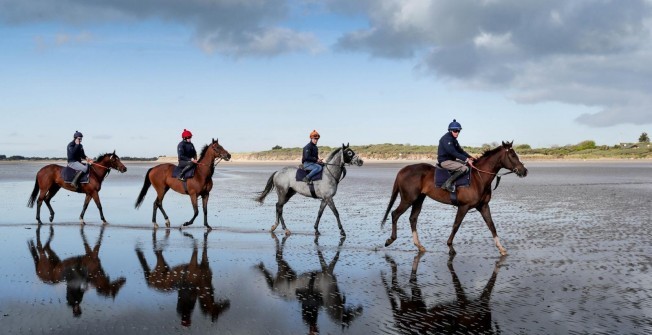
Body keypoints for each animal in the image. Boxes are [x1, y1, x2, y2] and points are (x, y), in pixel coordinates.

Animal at [380, 141, 528, 255]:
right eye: (512, 155)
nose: (524, 171)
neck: (478, 178)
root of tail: (402, 170)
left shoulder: (483, 206)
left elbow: (491, 225)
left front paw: (501, 248)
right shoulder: (463, 207)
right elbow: (456, 225)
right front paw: (450, 247)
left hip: (418, 200)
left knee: (413, 219)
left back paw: (419, 246)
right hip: (408, 200)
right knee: (395, 214)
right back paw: (390, 240)